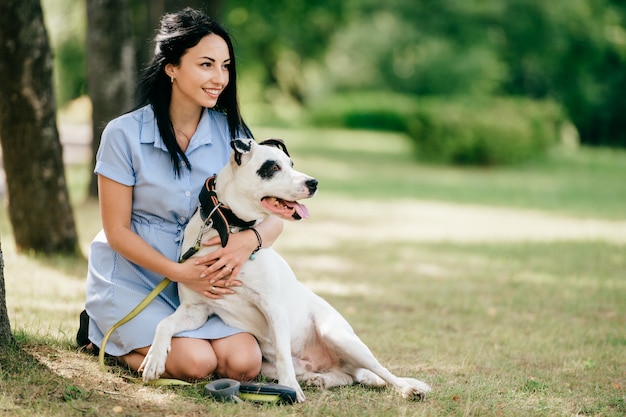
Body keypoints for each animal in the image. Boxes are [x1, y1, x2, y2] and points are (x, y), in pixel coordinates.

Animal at [138, 138, 428, 402]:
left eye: (291, 164)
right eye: (273, 167)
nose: (314, 183)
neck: (229, 229)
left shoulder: (273, 307)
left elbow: (283, 353)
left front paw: (291, 390)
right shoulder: (195, 310)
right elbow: (164, 324)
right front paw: (155, 358)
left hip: (338, 336)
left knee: (381, 371)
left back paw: (408, 388)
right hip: (273, 365)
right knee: (343, 376)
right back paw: (319, 379)